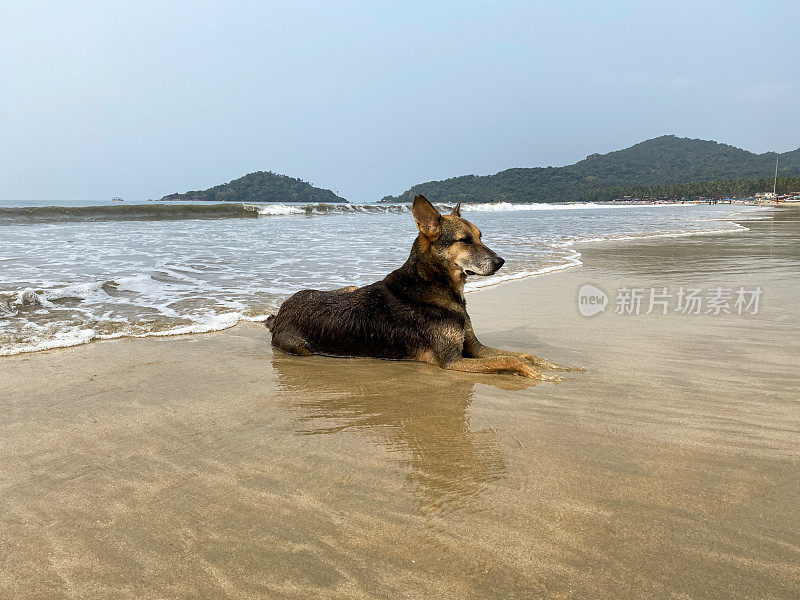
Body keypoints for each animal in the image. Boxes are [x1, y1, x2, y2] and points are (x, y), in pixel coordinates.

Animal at [268, 195, 576, 380]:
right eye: (465, 240)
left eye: (480, 236)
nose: (501, 262)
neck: (435, 287)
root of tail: (280, 311)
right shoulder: (452, 361)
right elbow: (512, 361)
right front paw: (542, 376)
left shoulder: (473, 348)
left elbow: (523, 354)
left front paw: (556, 365)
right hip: (301, 346)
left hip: (348, 288)